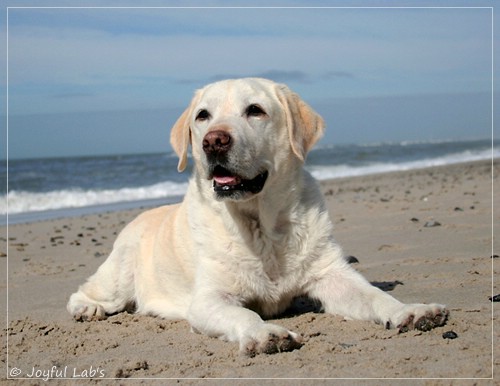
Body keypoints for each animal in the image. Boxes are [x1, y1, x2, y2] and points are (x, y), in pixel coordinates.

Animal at [67, 77, 450, 356]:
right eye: (202, 115)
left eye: (255, 110)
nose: (213, 141)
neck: (262, 227)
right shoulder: (209, 299)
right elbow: (243, 312)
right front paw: (265, 332)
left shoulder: (331, 274)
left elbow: (374, 296)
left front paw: (410, 311)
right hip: (119, 275)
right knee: (85, 292)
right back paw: (87, 309)